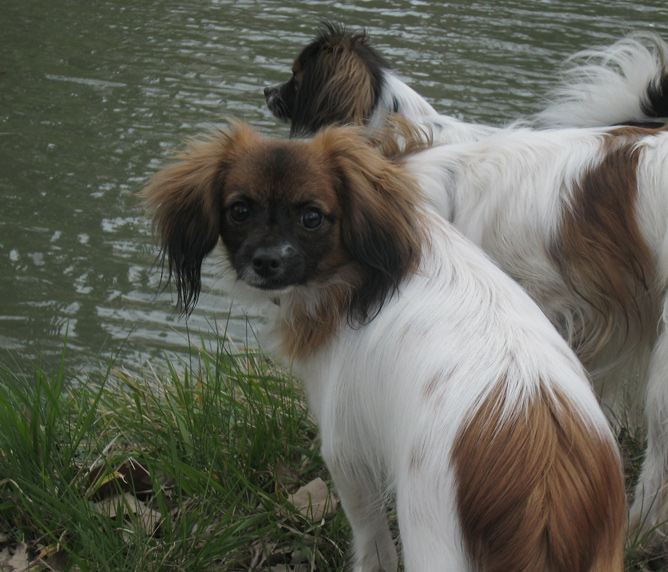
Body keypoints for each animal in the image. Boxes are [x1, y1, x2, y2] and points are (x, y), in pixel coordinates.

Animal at [141, 124, 628, 572]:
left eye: (312, 217)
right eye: (239, 210)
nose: (267, 262)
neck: (363, 272)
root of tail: (544, 486)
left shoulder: (345, 453)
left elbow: (371, 539)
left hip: (429, 540)